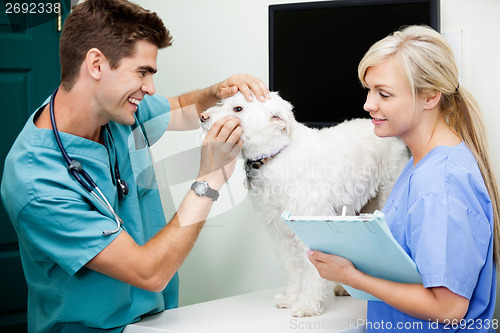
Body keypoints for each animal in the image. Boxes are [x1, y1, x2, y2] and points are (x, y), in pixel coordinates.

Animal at [199, 91, 410, 316]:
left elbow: (312, 271)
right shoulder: (279, 231)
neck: (276, 155)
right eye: (223, 102)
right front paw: (291, 298)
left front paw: (307, 304)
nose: (202, 116)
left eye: (238, 109)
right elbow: (293, 268)